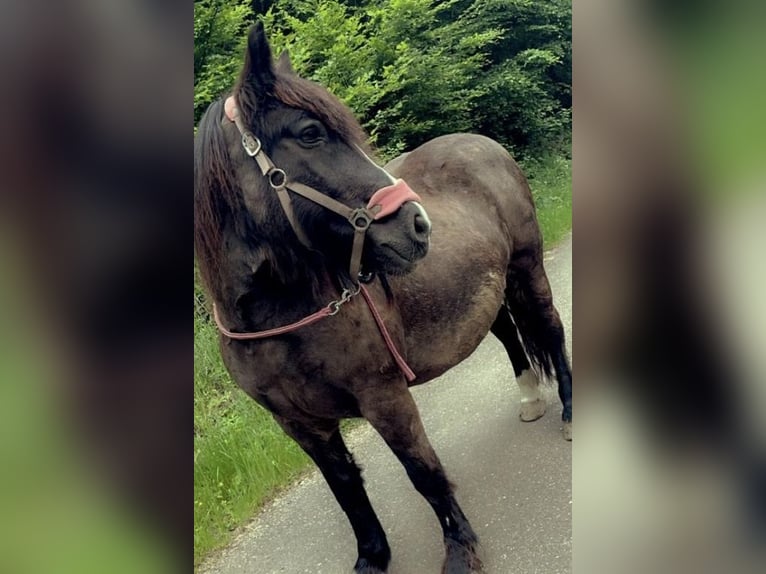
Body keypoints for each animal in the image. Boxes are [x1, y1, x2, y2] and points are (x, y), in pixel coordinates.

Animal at [194, 22, 572, 574]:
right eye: (310, 133)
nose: (418, 224)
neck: (278, 323)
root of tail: (482, 143)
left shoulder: (384, 397)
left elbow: (423, 471)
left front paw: (460, 551)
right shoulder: (300, 425)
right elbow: (346, 489)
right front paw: (373, 556)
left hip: (527, 268)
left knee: (549, 328)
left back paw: (569, 413)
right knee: (505, 330)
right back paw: (529, 397)